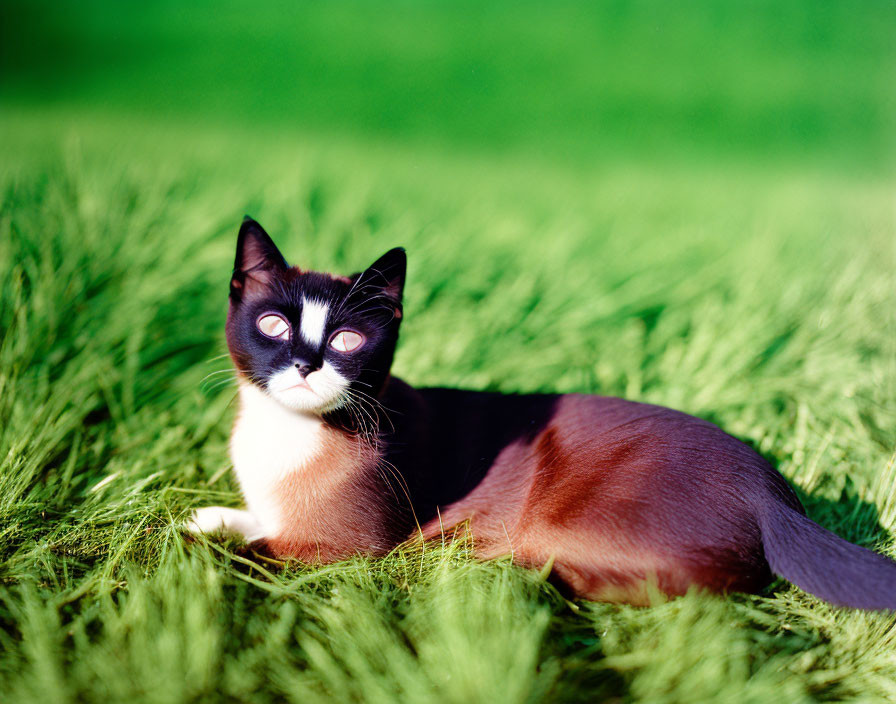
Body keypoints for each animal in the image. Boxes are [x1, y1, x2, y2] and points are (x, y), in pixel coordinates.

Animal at [187, 217, 896, 608]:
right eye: (274, 325)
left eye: (346, 341)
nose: (307, 365)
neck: (284, 437)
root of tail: (775, 494)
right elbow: (247, 523)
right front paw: (208, 517)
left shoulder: (343, 552)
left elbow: (254, 553)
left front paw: (188, 542)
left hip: (566, 524)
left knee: (697, 583)